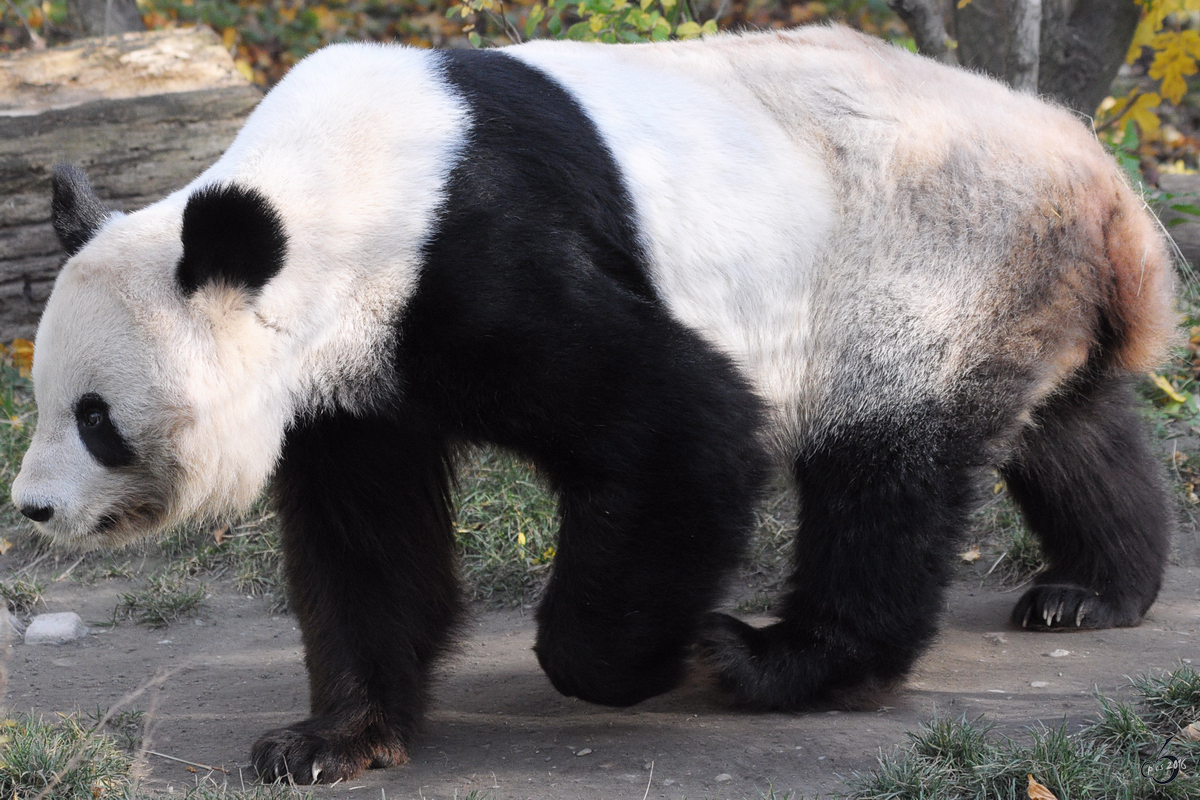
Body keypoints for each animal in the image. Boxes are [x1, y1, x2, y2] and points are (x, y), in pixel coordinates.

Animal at [9, 23, 1171, 782]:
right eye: (48, 398)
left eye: (96, 417)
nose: (33, 507)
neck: (324, 199)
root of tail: (1096, 173)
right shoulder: (353, 375)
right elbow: (365, 541)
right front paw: (329, 739)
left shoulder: (474, 251)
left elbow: (684, 427)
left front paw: (642, 657)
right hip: (1011, 278)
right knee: (1072, 426)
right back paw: (1094, 588)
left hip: (919, 266)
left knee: (887, 468)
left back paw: (776, 658)